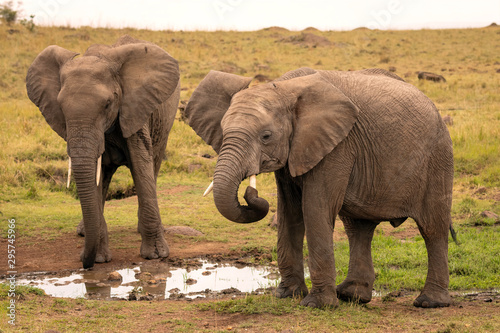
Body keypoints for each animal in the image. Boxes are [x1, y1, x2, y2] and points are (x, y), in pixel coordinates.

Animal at [26, 35, 181, 268]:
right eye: (61, 108)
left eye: (108, 104)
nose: (84, 263)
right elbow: (94, 177)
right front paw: (99, 259)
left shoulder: (134, 110)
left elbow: (140, 164)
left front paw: (156, 255)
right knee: (104, 175)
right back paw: (83, 232)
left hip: (164, 124)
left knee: (153, 163)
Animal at [185, 67, 458, 308]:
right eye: (222, 131)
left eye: (266, 136)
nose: (250, 193)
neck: (283, 88)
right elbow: (290, 212)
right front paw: (286, 296)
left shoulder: (337, 145)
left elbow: (315, 208)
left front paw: (317, 305)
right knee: (358, 228)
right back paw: (351, 296)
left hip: (438, 157)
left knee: (432, 228)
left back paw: (429, 302)